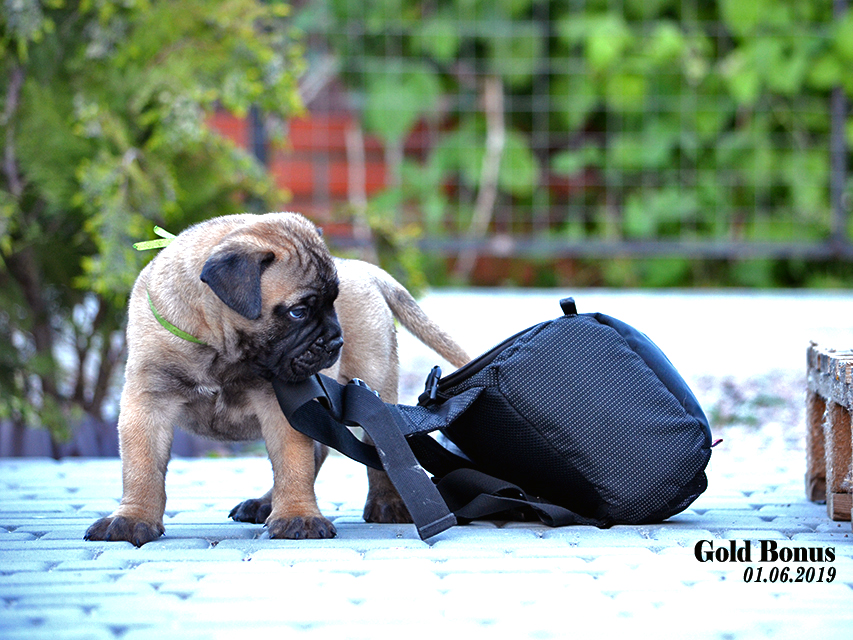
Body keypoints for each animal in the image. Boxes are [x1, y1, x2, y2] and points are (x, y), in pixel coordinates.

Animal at [85, 212, 470, 548]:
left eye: (333, 303)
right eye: (298, 312)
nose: (336, 342)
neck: (220, 350)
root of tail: (361, 268)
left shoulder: (283, 404)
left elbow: (293, 461)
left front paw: (298, 515)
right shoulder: (149, 401)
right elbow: (142, 467)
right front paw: (133, 518)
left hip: (373, 383)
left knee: (380, 447)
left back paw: (386, 503)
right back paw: (266, 503)